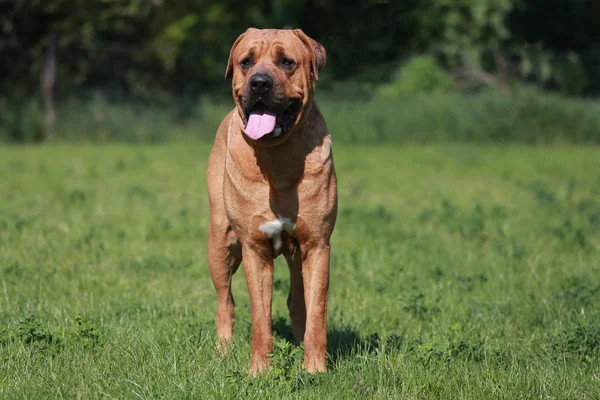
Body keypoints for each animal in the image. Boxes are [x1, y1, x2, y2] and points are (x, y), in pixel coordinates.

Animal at [206, 28, 338, 376]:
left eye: (287, 62)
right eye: (246, 62)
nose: (260, 83)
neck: (277, 155)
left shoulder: (317, 245)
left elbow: (316, 311)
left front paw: (314, 369)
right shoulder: (255, 249)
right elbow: (260, 317)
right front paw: (259, 371)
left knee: (298, 301)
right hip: (220, 241)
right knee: (225, 301)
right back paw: (222, 350)